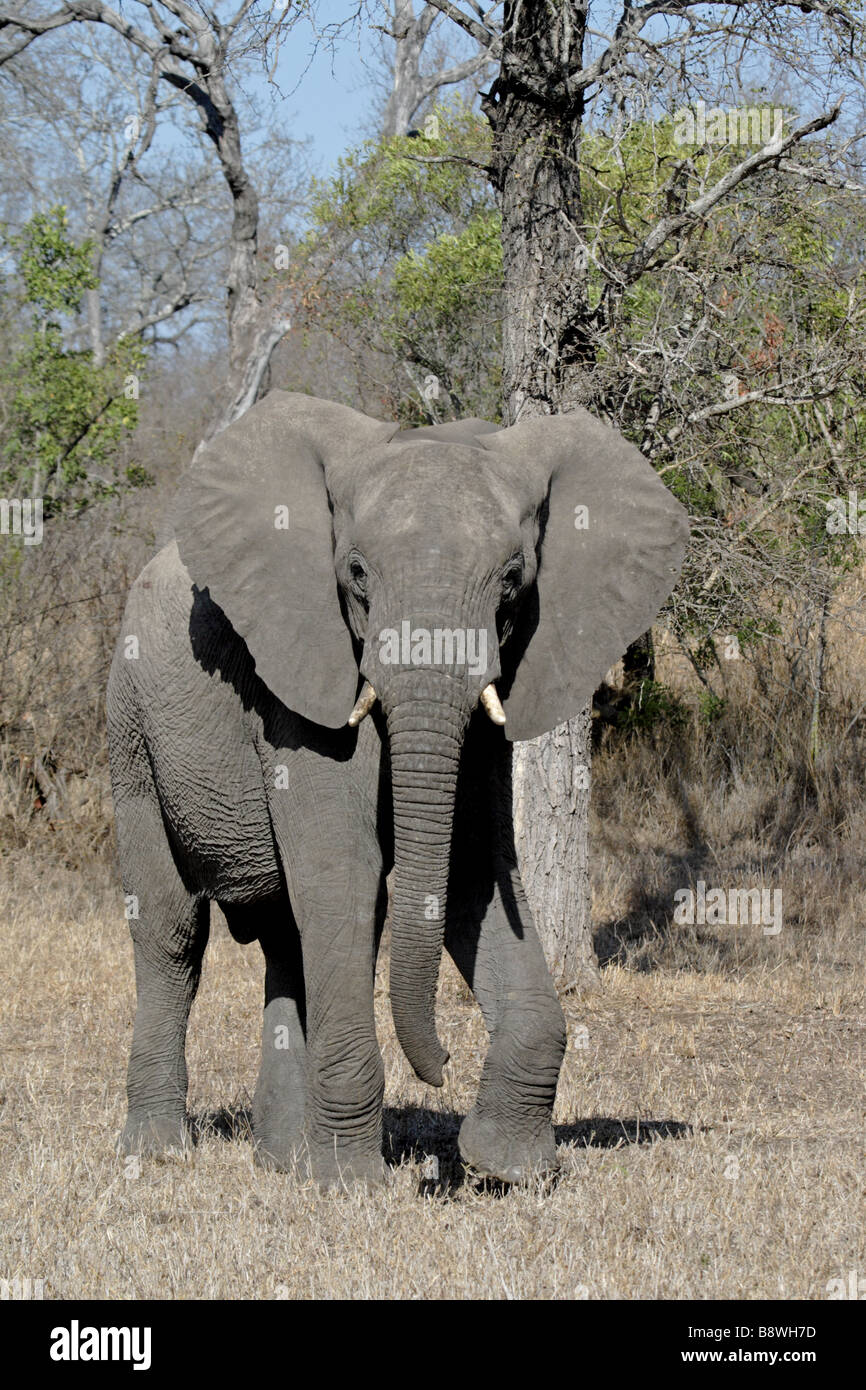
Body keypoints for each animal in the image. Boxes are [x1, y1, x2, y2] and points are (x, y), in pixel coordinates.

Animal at [107, 389, 692, 1184]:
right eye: (355, 573)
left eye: (512, 582)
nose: (442, 1063)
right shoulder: (301, 683)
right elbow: (346, 872)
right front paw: (351, 1185)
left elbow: (472, 868)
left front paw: (506, 1170)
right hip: (132, 730)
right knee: (172, 933)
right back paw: (159, 1150)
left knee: (289, 938)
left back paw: (282, 1161)